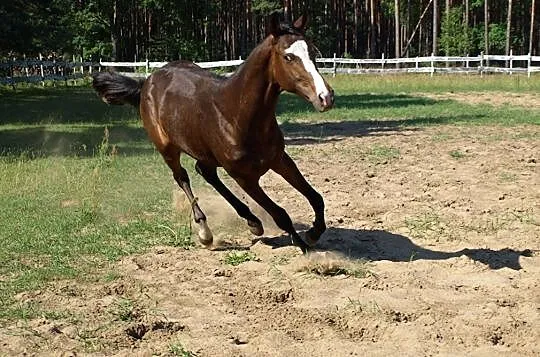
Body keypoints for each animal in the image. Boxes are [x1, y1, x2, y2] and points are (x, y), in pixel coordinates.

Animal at [92, 14, 334, 253]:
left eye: (313, 52)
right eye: (288, 57)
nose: (325, 97)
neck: (237, 114)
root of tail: (147, 82)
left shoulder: (279, 159)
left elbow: (316, 197)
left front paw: (313, 233)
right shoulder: (244, 177)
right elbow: (281, 215)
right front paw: (309, 252)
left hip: (204, 152)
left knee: (205, 172)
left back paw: (253, 222)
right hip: (167, 148)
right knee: (182, 177)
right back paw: (205, 233)